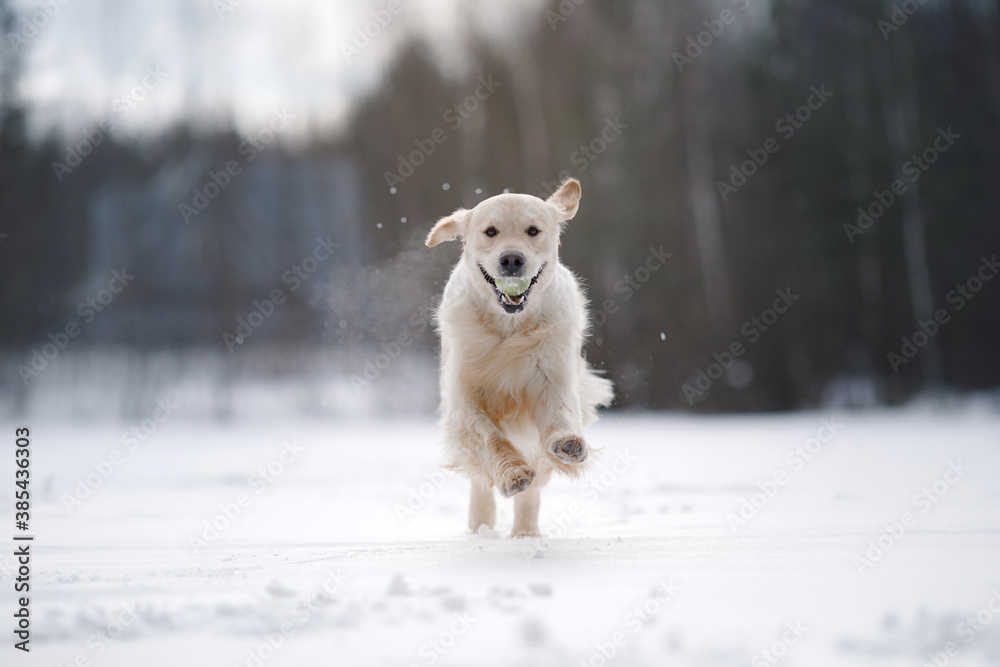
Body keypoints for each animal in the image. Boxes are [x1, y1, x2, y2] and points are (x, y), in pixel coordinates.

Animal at [424, 177, 612, 536]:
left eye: (533, 230)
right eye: (491, 231)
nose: (512, 259)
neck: (509, 327)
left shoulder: (552, 374)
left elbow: (559, 411)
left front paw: (567, 443)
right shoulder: (464, 398)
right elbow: (490, 439)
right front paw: (512, 474)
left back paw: (525, 534)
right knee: (480, 485)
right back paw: (481, 530)